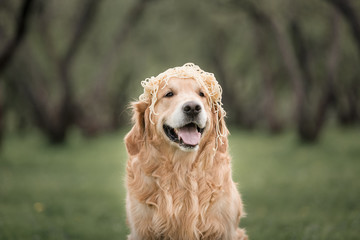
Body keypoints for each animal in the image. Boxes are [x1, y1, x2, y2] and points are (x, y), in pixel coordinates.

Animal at [124, 62, 248, 239]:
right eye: (169, 94)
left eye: (202, 94)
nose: (193, 107)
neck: (182, 169)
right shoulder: (142, 231)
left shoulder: (225, 230)